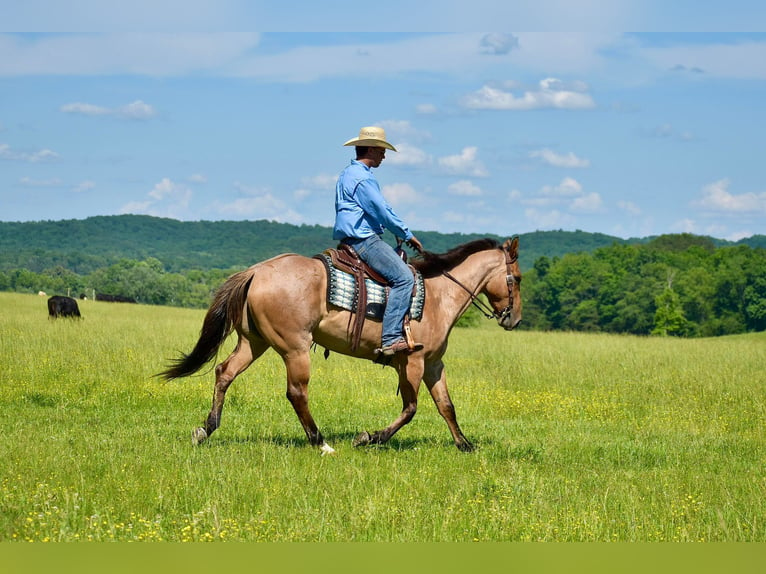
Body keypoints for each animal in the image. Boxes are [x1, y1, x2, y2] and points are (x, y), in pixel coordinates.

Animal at [161, 237, 520, 454]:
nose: (514, 319)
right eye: (516, 278)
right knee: (297, 393)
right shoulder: (412, 362)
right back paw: (320, 442)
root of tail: (257, 271)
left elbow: (446, 406)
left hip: (254, 342)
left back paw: (206, 429)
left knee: (224, 373)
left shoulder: (433, 364)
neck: (438, 296)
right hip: (295, 348)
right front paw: (369, 437)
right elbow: (410, 408)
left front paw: (465, 444)